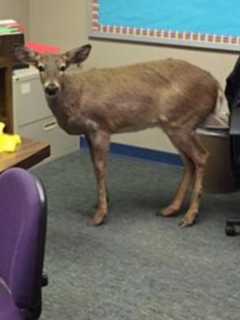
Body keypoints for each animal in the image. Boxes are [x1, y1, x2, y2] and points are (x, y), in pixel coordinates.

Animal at [15, 45, 230, 228]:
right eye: (40, 67)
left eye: (63, 67)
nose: (51, 88)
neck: (76, 98)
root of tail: (215, 84)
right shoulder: (89, 132)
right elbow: (94, 165)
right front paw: (102, 203)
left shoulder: (101, 127)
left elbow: (101, 167)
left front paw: (100, 215)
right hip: (175, 126)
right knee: (189, 161)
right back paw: (170, 209)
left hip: (181, 122)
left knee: (201, 156)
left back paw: (190, 216)